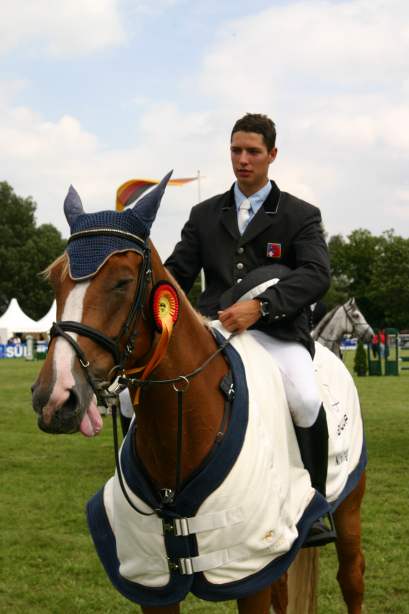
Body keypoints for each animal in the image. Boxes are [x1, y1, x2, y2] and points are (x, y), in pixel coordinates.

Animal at [31, 175, 366, 614]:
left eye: (122, 281)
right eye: (56, 280)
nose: (55, 398)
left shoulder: (250, 568)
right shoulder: (152, 580)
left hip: (348, 503)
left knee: (351, 577)